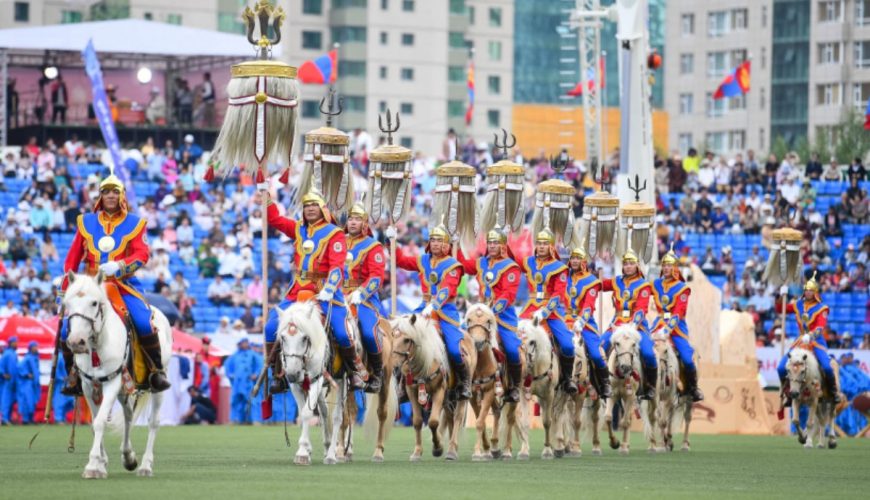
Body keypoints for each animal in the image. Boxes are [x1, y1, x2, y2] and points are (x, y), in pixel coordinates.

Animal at [63, 272, 173, 478]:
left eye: (94, 303)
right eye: (67, 303)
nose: (76, 342)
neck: (97, 346)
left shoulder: (112, 382)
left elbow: (100, 422)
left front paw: (92, 465)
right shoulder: (89, 386)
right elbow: (94, 422)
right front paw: (100, 463)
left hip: (158, 383)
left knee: (153, 422)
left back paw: (145, 465)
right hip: (123, 389)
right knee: (129, 414)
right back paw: (128, 457)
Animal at [278, 296, 350, 464]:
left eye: (305, 338)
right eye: (283, 337)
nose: (292, 373)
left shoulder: (317, 380)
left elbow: (306, 413)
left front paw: (302, 452)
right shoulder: (296, 385)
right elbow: (303, 411)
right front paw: (307, 449)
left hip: (342, 381)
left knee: (337, 417)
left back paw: (331, 455)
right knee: (324, 412)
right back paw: (327, 446)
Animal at [516, 318, 564, 458]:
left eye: (532, 342)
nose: (524, 363)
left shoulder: (549, 394)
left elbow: (547, 422)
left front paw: (547, 450)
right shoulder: (523, 393)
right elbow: (525, 422)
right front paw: (524, 451)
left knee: (560, 416)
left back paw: (561, 446)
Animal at [608, 324, 648, 458]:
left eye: (633, 344)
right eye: (617, 343)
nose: (626, 367)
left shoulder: (630, 397)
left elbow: (625, 422)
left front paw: (623, 447)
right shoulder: (612, 395)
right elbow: (608, 417)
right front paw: (614, 443)